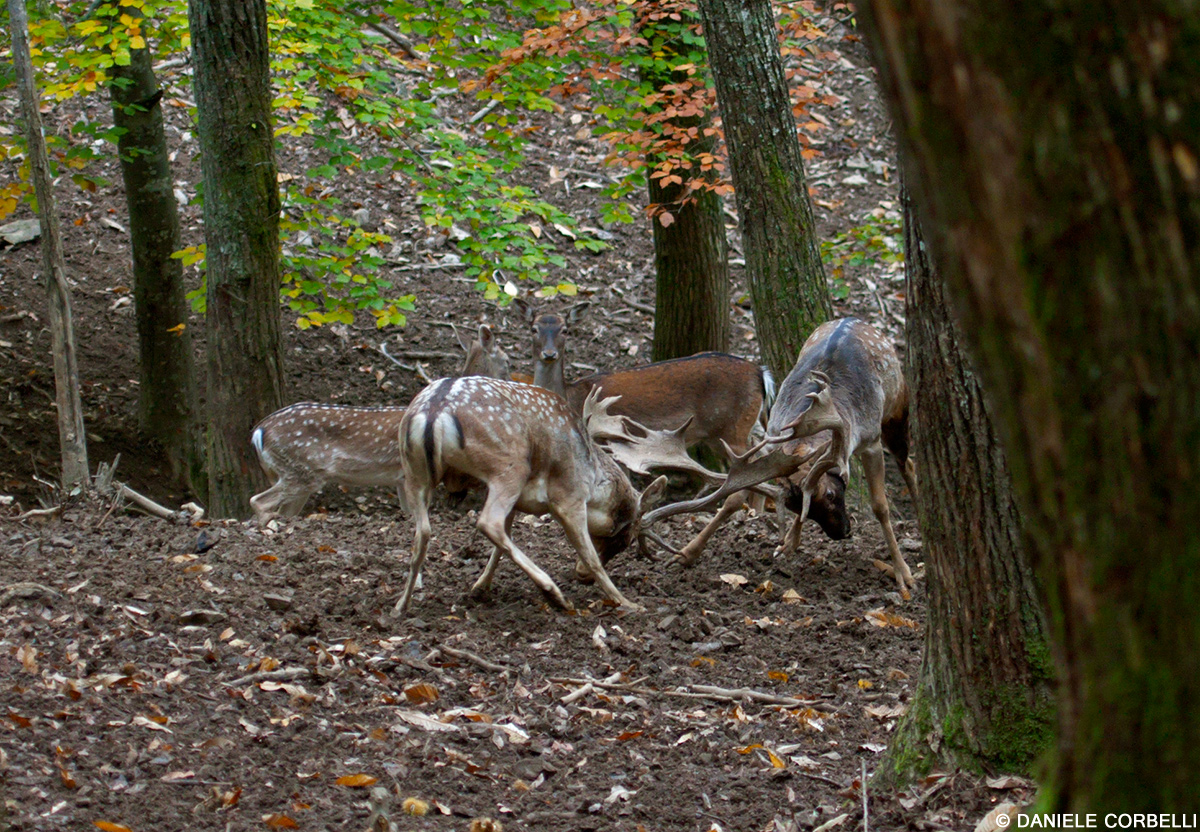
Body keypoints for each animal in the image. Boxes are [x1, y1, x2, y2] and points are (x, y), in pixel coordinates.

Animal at [250, 321, 513, 518]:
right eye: (507, 360)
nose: (511, 379)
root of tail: (259, 432)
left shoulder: (400, 478)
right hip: (301, 470)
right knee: (258, 501)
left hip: (290, 474)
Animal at [398, 372, 672, 612]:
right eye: (627, 536)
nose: (581, 576)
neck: (593, 480)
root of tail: (434, 412)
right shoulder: (569, 497)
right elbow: (590, 554)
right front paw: (628, 603)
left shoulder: (519, 502)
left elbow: (502, 544)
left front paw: (479, 587)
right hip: (509, 467)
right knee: (487, 522)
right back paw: (555, 594)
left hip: (414, 471)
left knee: (423, 531)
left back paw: (401, 606)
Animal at [648, 314, 916, 593]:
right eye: (793, 507)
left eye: (831, 494)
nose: (843, 532)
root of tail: (853, 317)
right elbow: (737, 498)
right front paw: (685, 554)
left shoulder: (871, 440)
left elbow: (880, 506)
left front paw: (903, 573)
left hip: (897, 410)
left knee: (908, 463)